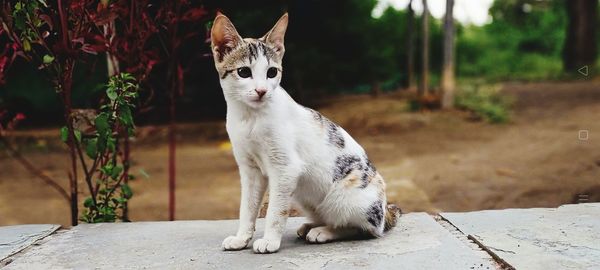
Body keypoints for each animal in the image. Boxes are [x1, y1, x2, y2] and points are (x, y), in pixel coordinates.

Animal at [209, 12, 400, 253]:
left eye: (272, 72)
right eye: (244, 72)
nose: (262, 91)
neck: (250, 118)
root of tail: (385, 210)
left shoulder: (285, 169)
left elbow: (275, 210)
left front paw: (270, 241)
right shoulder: (250, 170)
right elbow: (247, 208)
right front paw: (242, 238)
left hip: (345, 198)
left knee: (365, 229)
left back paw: (324, 232)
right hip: (306, 196)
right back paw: (311, 226)